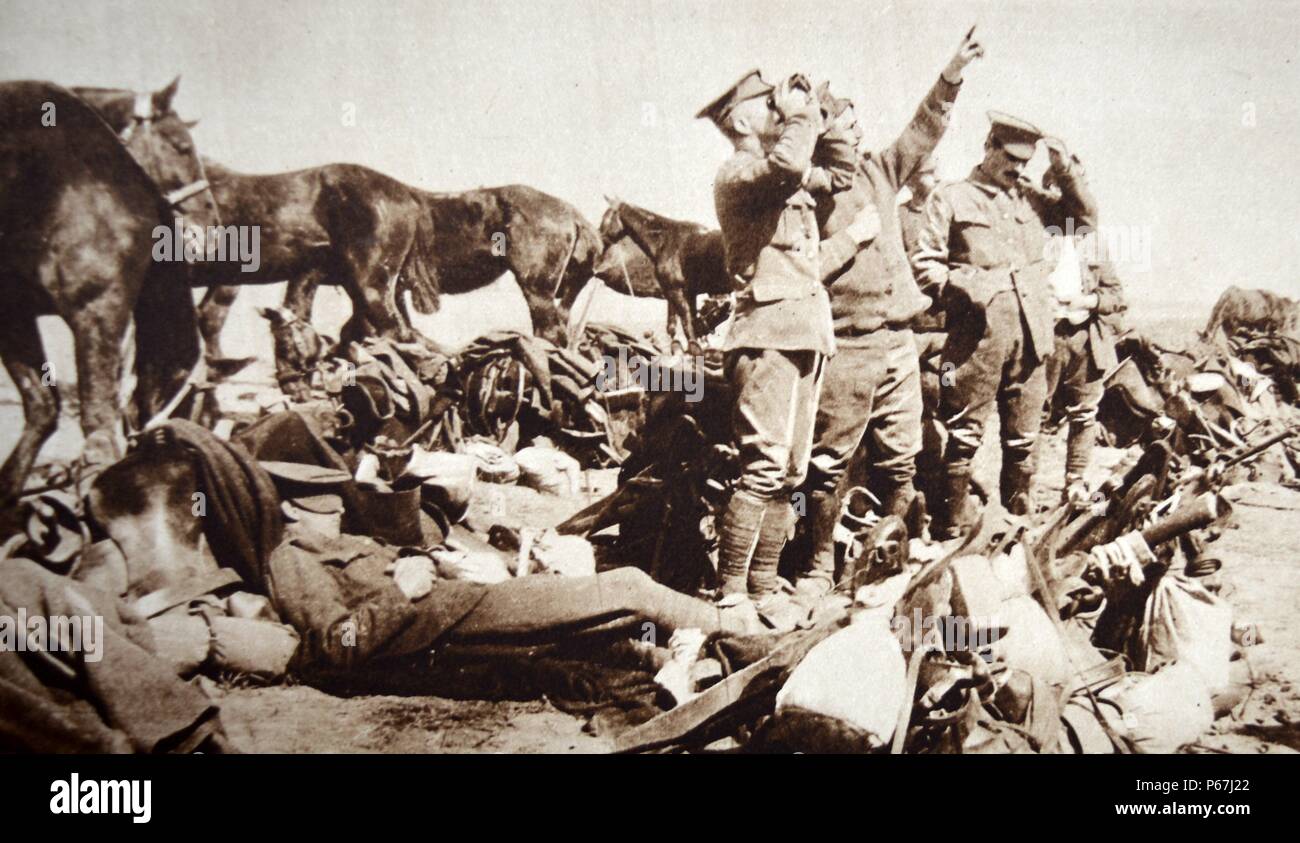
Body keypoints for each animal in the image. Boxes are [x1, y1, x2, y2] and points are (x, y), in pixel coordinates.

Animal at [0, 80, 218, 507]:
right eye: (181, 146)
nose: (212, 221)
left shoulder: (15, 312)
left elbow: (43, 409)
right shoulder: (97, 310)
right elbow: (98, 428)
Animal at [595, 197, 733, 348]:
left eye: (606, 217)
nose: (598, 239)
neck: (666, 241)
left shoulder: (677, 292)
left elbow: (682, 326)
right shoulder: (679, 293)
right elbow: (681, 325)